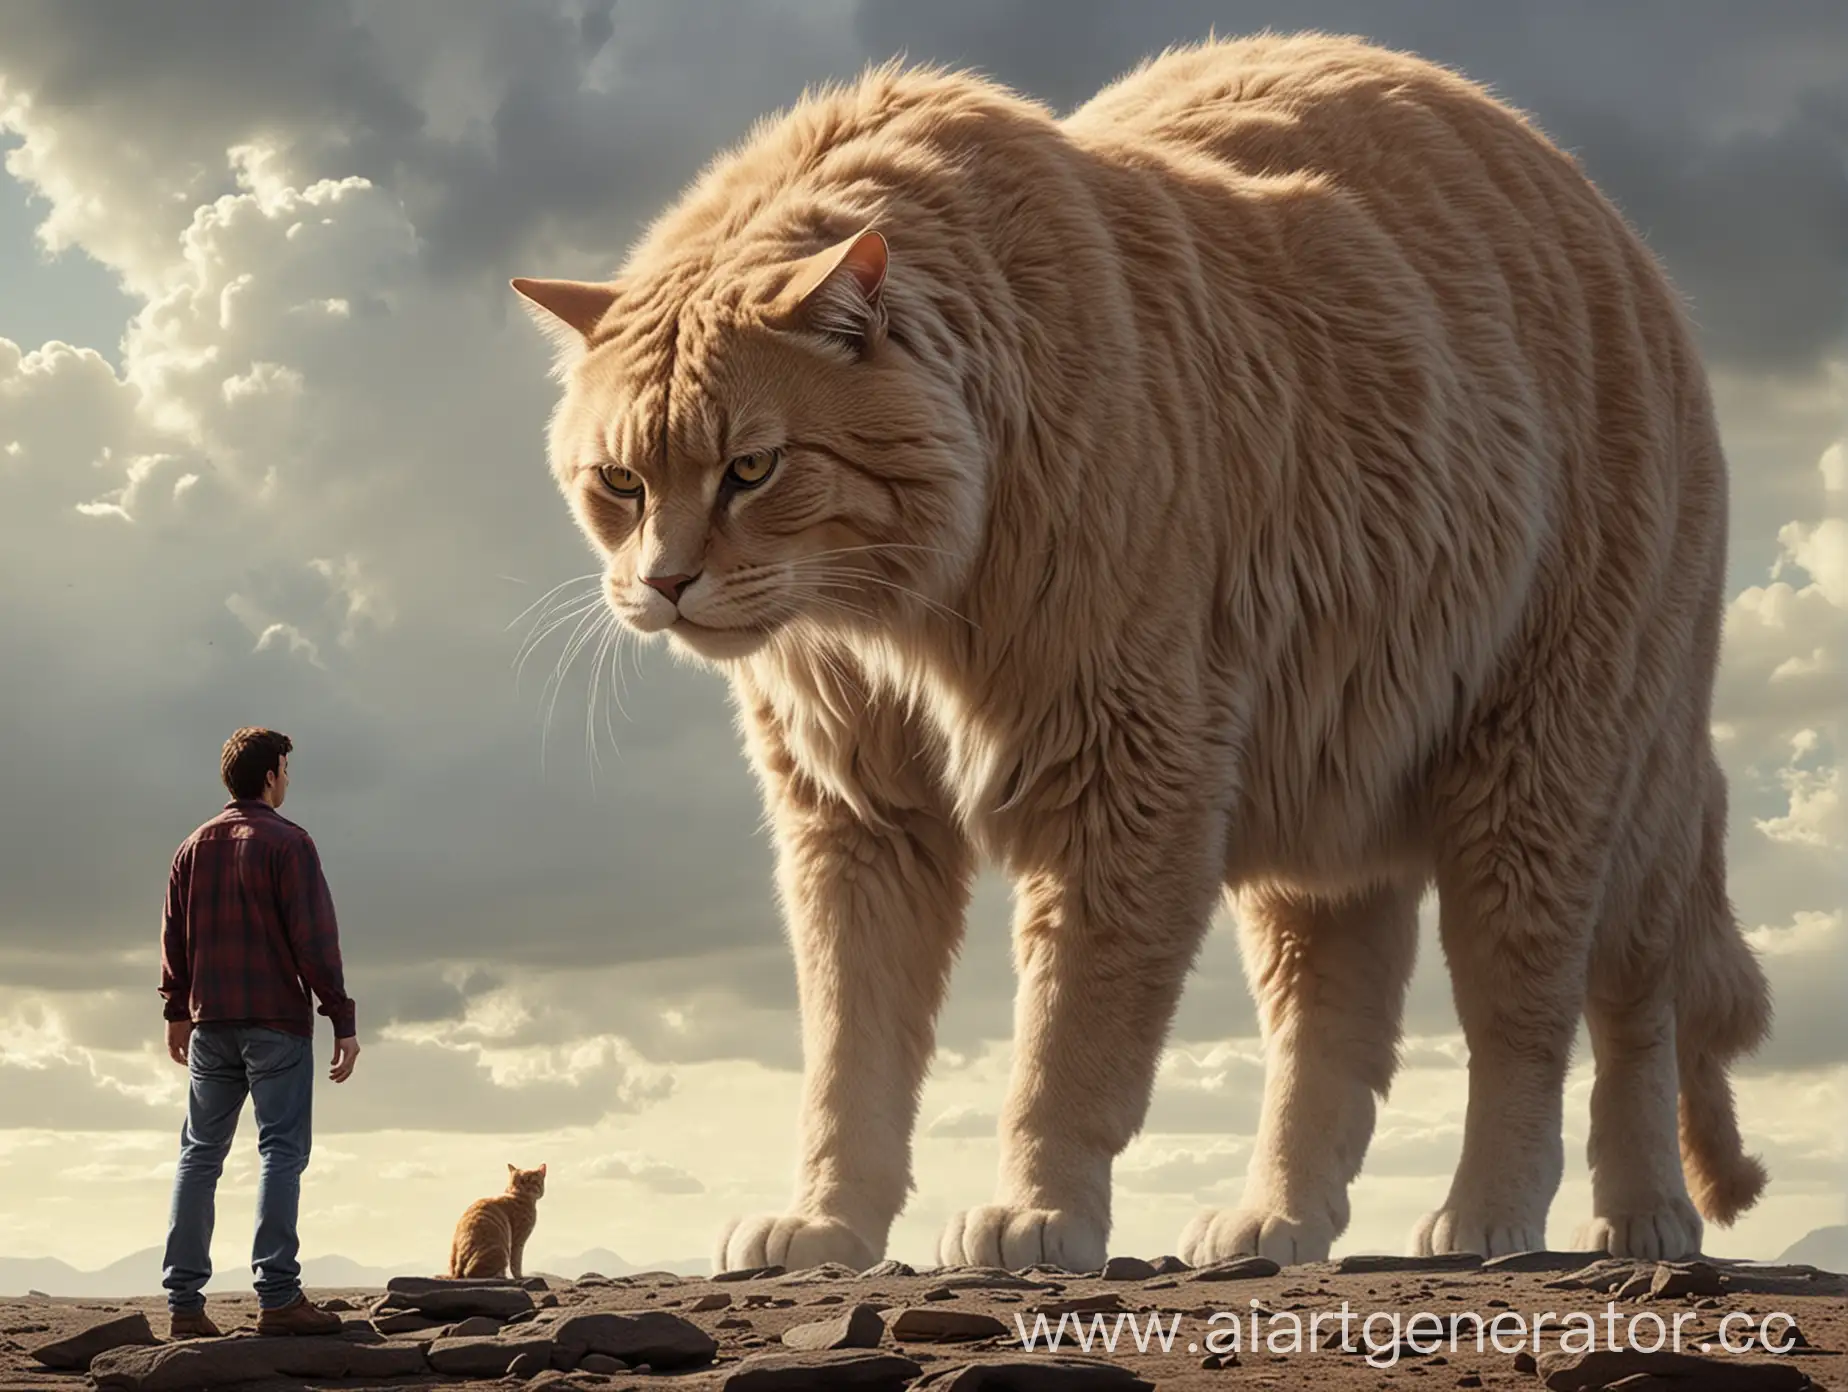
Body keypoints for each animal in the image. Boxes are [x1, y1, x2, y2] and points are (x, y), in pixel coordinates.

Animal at [513, 29, 1766, 1271]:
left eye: (753, 468)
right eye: (620, 482)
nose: (665, 583)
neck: (903, 612)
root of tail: (1610, 225)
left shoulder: (1127, 774)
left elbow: (1069, 1048)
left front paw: (1037, 1213)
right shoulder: (859, 816)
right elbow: (850, 1057)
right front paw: (827, 1222)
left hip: (1554, 764)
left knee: (1574, 1010)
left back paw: (1548, 1217)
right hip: (1329, 798)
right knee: (1334, 1029)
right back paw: (1277, 1220)